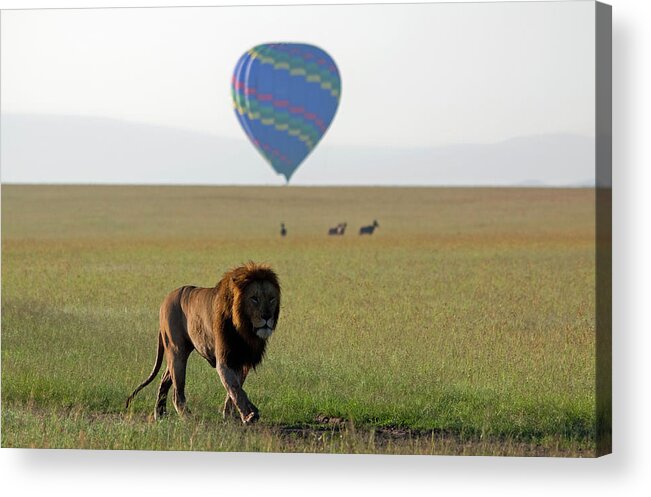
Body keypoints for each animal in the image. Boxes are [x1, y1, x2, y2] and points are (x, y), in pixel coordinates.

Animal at [126, 260, 282, 422]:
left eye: (271, 298)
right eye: (254, 298)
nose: (267, 316)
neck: (245, 330)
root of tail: (166, 299)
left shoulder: (241, 359)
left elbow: (234, 389)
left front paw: (230, 416)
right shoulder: (225, 359)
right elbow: (235, 388)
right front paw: (250, 414)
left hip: (178, 352)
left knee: (165, 378)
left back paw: (160, 413)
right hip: (177, 351)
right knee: (177, 391)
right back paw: (187, 417)